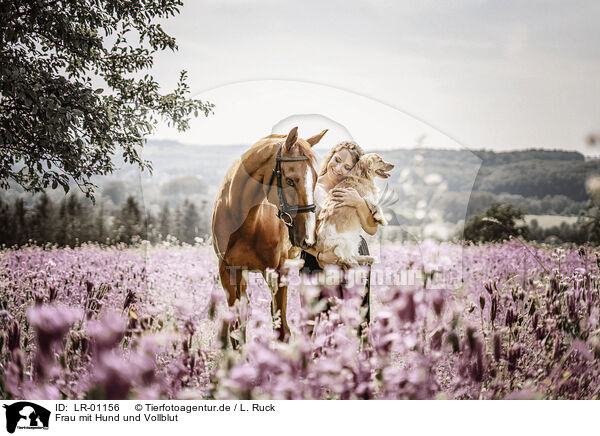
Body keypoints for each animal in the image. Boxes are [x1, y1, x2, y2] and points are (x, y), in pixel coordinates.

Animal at [210, 126, 324, 340]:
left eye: (314, 179)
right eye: (289, 180)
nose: (308, 238)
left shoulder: (278, 271)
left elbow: (281, 330)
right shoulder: (229, 271)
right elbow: (237, 328)